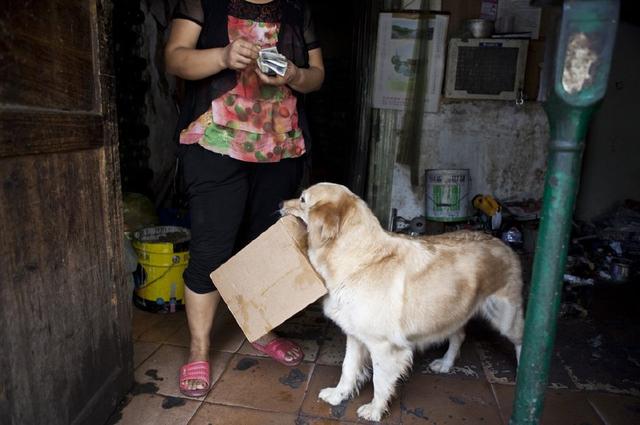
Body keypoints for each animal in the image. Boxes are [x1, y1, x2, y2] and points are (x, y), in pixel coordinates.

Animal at [282, 181, 524, 420]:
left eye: (303, 200)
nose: (280, 203)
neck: (360, 260)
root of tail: (501, 242)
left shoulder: (384, 347)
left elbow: (380, 382)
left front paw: (375, 410)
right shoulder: (355, 335)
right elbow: (348, 369)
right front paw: (338, 395)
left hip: (505, 316)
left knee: (521, 340)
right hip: (452, 312)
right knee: (459, 336)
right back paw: (445, 364)